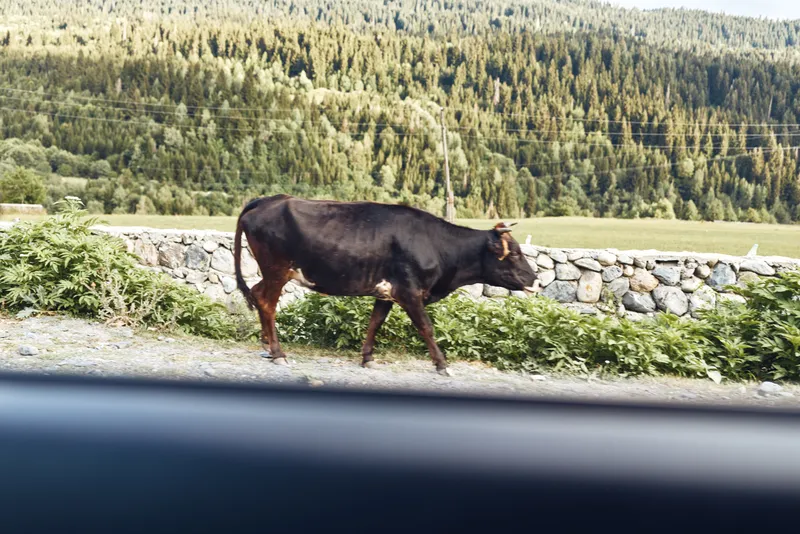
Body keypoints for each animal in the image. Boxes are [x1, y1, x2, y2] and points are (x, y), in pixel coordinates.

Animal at [234, 194, 538, 376]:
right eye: (514, 253)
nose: (534, 279)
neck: (436, 245)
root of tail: (269, 199)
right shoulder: (410, 291)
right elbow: (426, 327)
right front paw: (442, 364)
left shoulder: (387, 292)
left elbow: (375, 323)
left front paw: (367, 357)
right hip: (277, 270)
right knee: (267, 302)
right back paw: (278, 353)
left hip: (272, 272)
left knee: (258, 294)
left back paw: (266, 344)